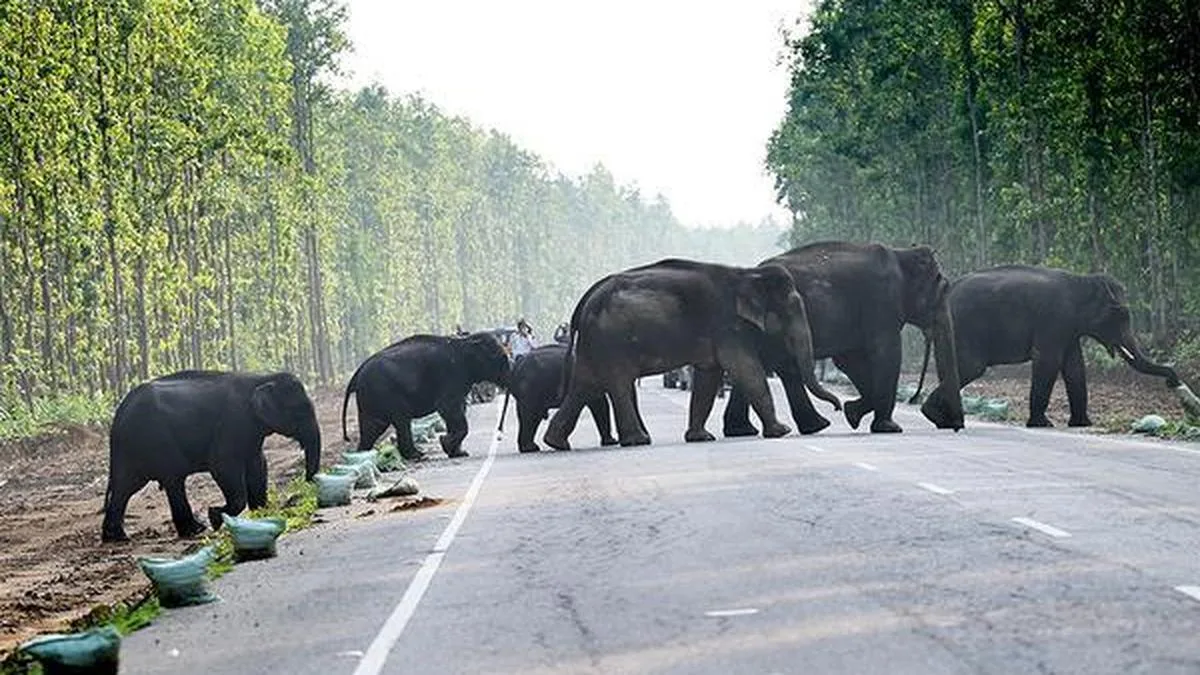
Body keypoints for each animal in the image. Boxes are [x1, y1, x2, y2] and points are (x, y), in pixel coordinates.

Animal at [101, 370, 321, 543]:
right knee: (164, 480)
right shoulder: (234, 420)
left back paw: (118, 537)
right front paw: (215, 516)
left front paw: (261, 514)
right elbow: (222, 465)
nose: (304, 486)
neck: (263, 377)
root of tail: (118, 414)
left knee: (129, 486)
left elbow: (258, 464)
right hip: (152, 438)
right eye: (299, 410)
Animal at [341, 331, 510, 460]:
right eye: (500, 357)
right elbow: (448, 408)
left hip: (371, 398)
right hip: (384, 392)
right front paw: (444, 442)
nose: (500, 433)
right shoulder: (450, 375)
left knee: (373, 428)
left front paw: (459, 453)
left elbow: (458, 409)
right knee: (401, 421)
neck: (465, 341)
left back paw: (363, 455)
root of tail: (356, 374)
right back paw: (418, 456)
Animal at [543, 258, 841, 450]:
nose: (838, 406)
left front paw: (700, 438)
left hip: (595, 342)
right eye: (791, 308)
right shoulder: (727, 326)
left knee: (584, 384)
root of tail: (586, 299)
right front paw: (781, 432)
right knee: (617, 383)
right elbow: (746, 369)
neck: (746, 274)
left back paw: (556, 443)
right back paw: (637, 441)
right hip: (612, 341)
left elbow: (709, 377)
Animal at [722, 241, 965, 436]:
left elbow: (851, 361)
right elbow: (887, 353)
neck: (901, 254)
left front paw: (851, 413)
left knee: (769, 365)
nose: (955, 426)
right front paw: (888, 427)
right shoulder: (881, 302)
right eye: (944, 289)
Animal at [910, 265, 1181, 427]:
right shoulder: (1054, 319)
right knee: (971, 368)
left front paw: (1083, 424)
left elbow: (1075, 367)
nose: (1174, 381)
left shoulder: (1069, 329)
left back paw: (943, 418)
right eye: (1121, 314)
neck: (1080, 281)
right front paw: (1042, 424)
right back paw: (934, 414)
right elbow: (1049, 361)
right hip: (964, 328)